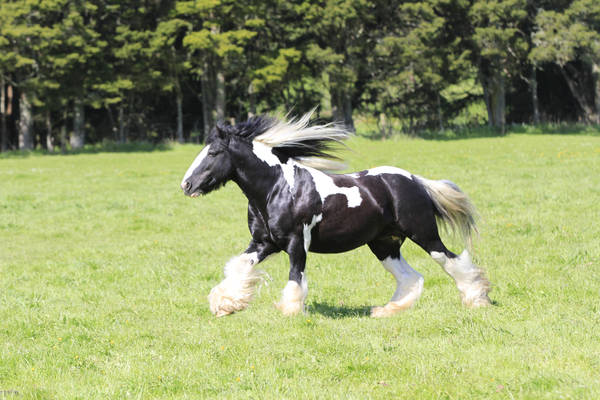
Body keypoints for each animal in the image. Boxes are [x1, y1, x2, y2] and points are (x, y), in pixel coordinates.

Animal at [180, 111, 490, 318]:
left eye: (213, 153)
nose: (187, 185)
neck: (276, 189)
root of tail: (415, 180)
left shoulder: (297, 242)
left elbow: (295, 277)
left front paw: (290, 312)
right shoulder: (263, 243)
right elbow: (239, 266)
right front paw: (224, 304)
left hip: (423, 234)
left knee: (453, 261)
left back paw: (478, 299)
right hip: (385, 245)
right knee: (410, 277)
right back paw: (386, 310)